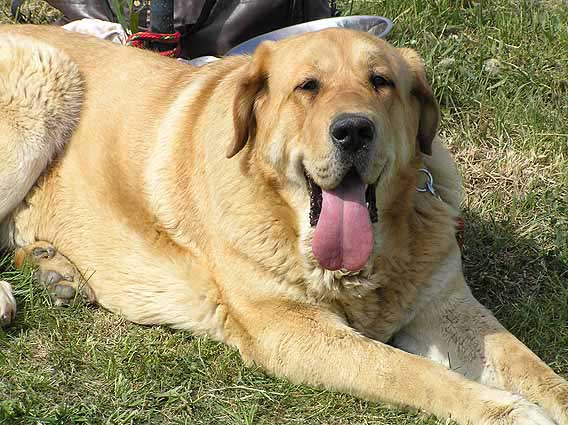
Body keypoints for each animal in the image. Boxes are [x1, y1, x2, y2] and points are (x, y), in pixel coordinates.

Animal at [0, 24, 564, 422]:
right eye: (307, 87)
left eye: (381, 82)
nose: (354, 130)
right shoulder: (293, 331)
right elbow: (413, 373)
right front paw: (513, 413)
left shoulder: (446, 308)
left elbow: (534, 369)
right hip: (47, 82)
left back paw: (55, 268)